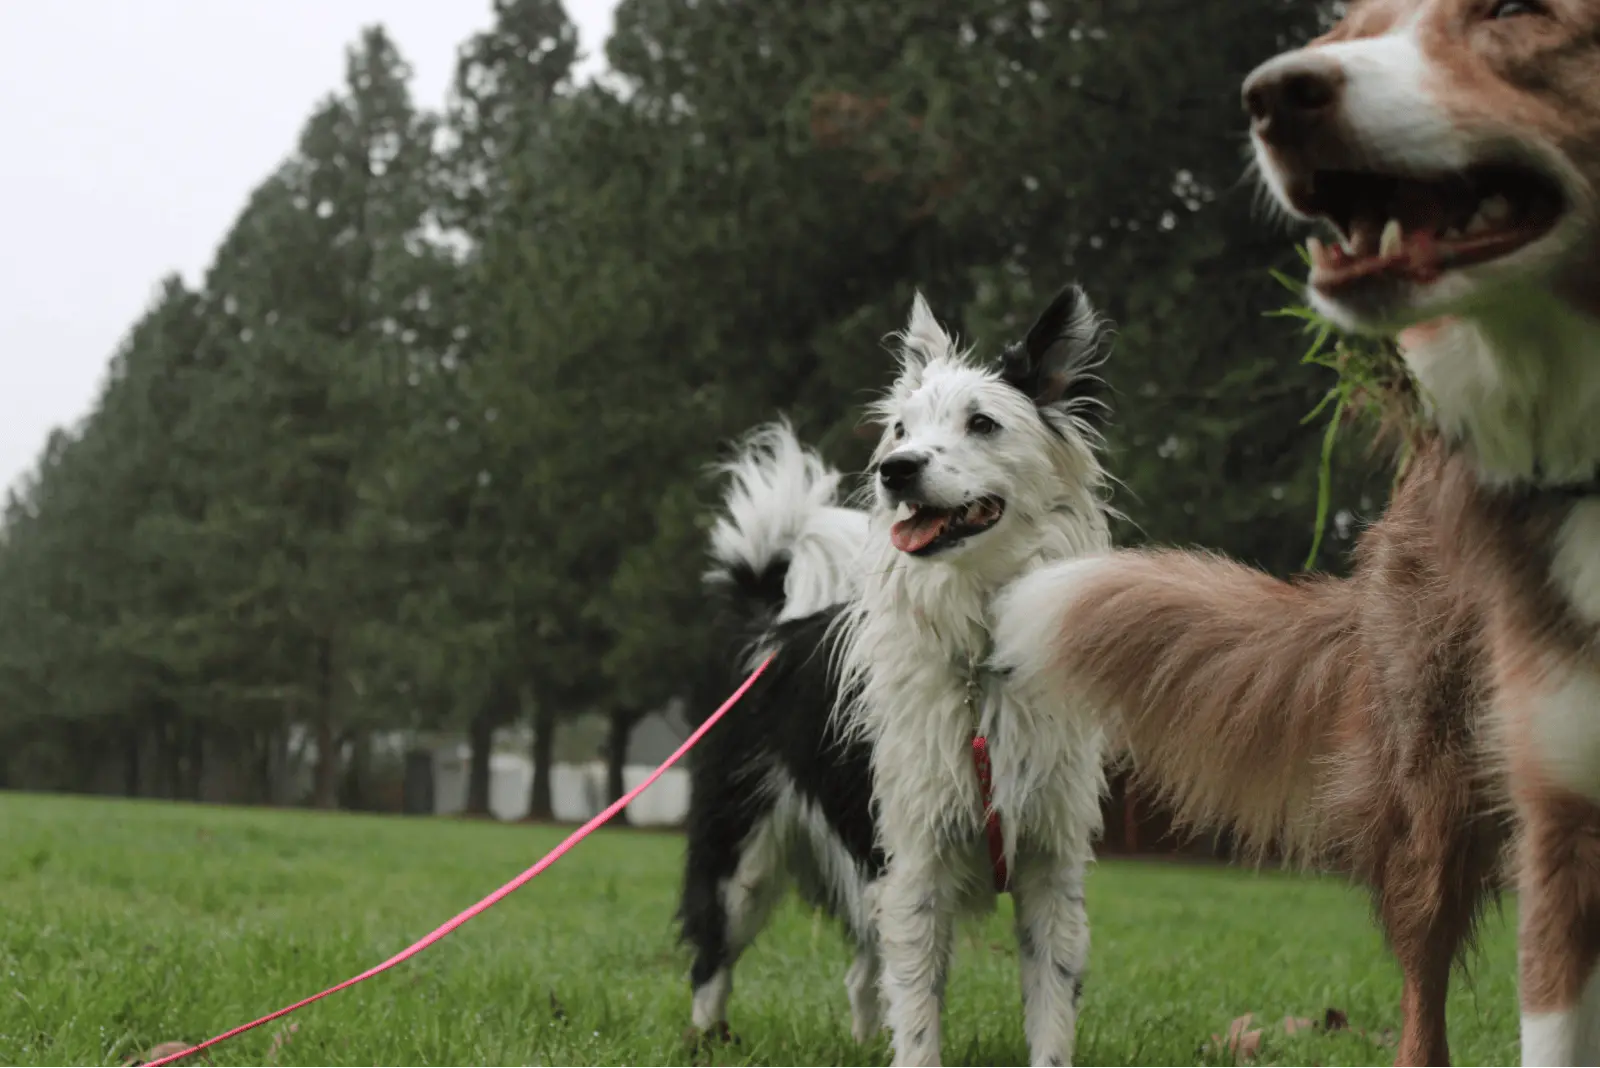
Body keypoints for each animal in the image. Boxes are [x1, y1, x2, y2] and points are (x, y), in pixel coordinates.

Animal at [838, 286, 1113, 1068]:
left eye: (982, 423)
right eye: (900, 428)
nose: (895, 469)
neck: (983, 658)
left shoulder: (1052, 864)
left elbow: (1052, 1006)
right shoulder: (915, 869)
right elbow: (916, 1013)